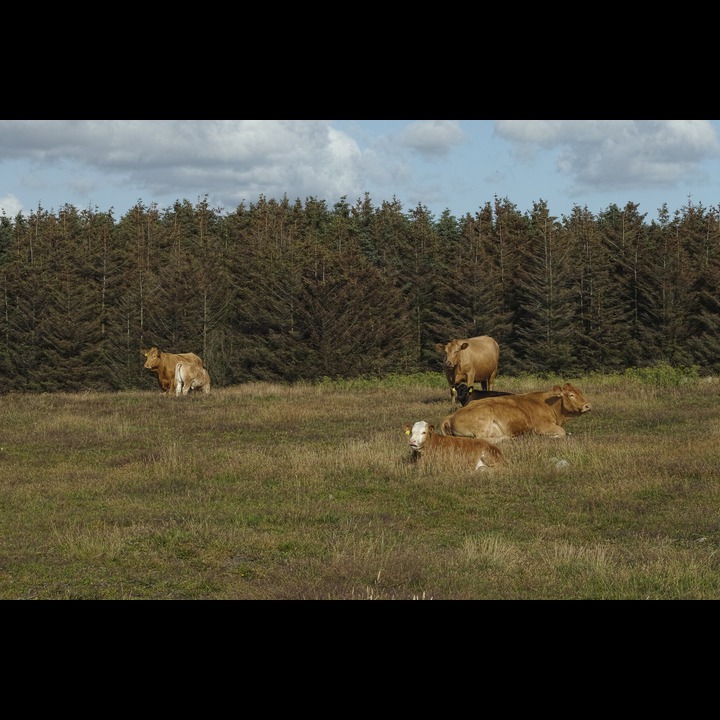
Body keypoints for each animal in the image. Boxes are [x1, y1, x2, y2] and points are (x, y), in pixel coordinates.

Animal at [442, 380, 592, 442]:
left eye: (580, 392)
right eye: (571, 395)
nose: (588, 406)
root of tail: (450, 416)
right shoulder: (543, 426)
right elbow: (562, 432)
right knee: (482, 439)